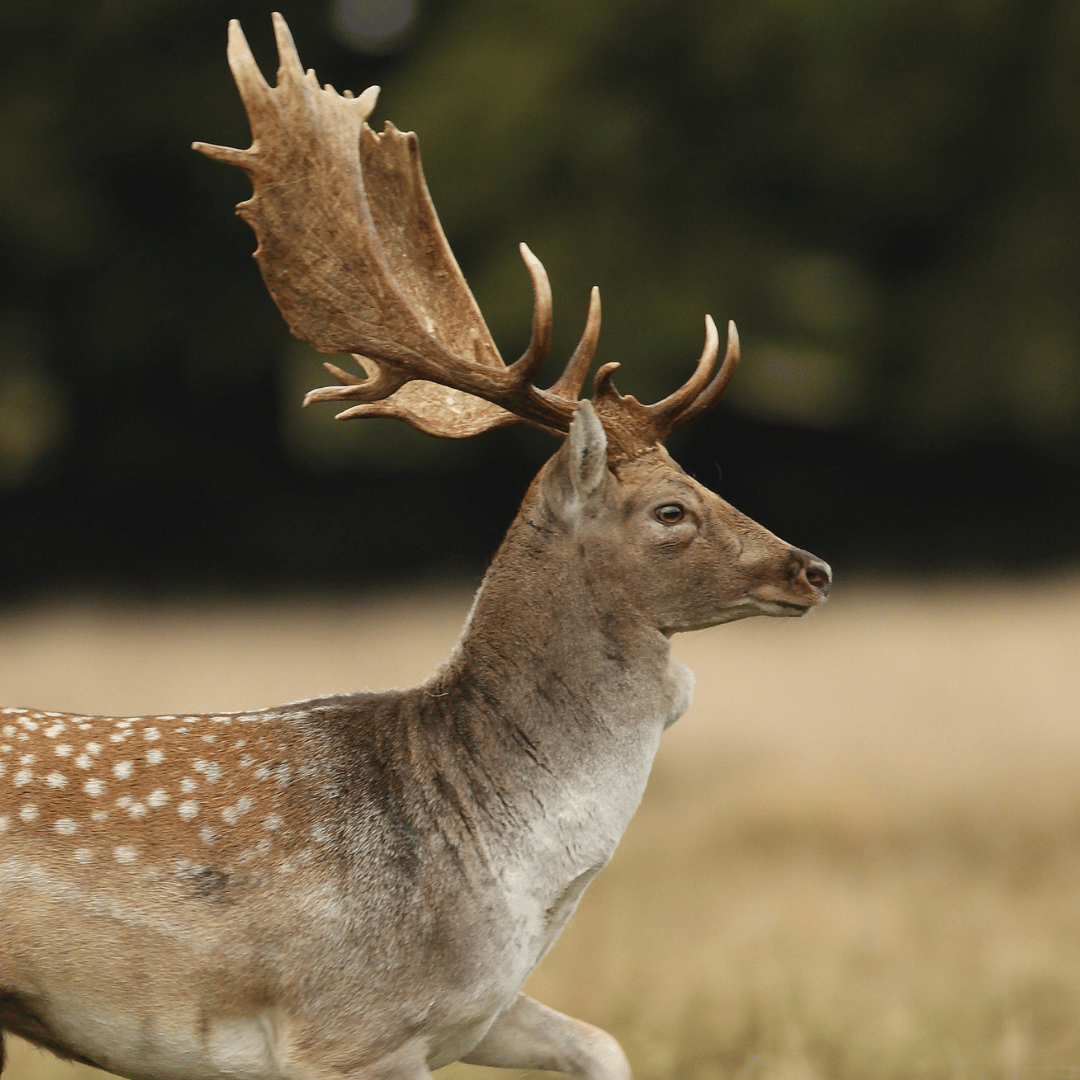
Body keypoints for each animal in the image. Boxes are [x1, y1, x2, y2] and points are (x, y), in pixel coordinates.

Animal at [0, 14, 831, 1080]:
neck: (498, 870)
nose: (809, 569)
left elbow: (604, 1044)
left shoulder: (477, 1010)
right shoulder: (351, 1025)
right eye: (670, 510)